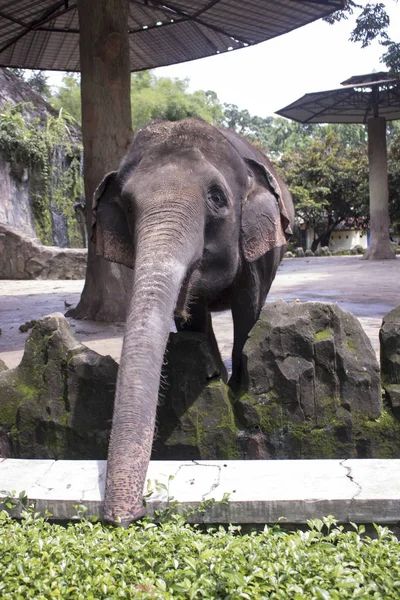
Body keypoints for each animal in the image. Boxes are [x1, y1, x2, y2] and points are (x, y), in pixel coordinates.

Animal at [93, 118, 294, 524]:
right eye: (127, 205)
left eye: (217, 198)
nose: (126, 517)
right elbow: (193, 321)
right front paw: (214, 377)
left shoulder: (259, 241)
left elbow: (248, 309)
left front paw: (236, 388)